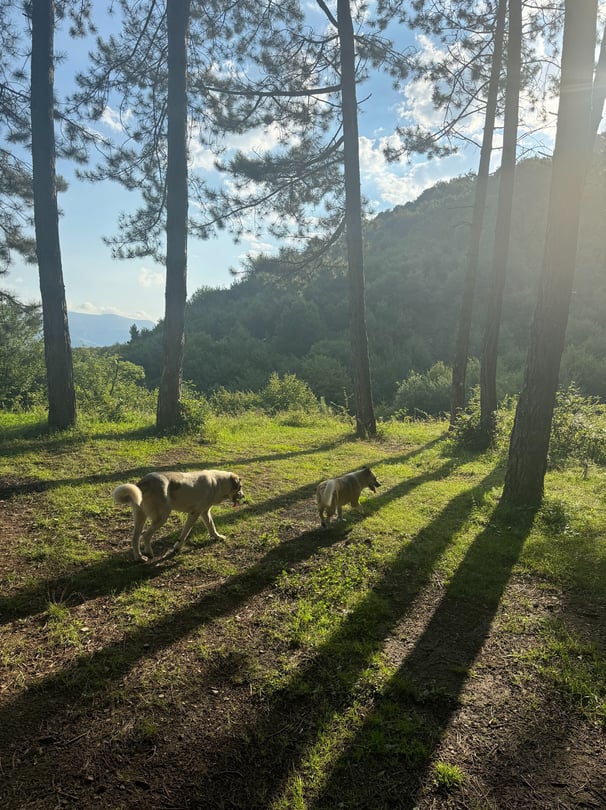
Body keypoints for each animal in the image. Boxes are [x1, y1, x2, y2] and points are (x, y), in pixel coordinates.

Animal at [111, 468, 245, 560]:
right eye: (240, 487)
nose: (244, 497)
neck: (218, 482)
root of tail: (143, 482)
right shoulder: (194, 514)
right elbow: (185, 533)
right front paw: (177, 548)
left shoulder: (204, 513)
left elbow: (211, 527)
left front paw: (218, 537)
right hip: (161, 517)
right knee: (145, 536)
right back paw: (149, 553)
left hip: (140, 517)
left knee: (135, 538)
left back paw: (139, 558)